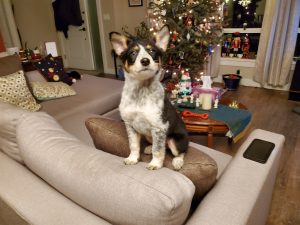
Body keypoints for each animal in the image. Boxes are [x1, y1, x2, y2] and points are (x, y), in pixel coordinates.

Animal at [109, 25, 189, 171]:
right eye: (132, 53)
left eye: (152, 51)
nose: (145, 61)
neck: (140, 92)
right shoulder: (130, 125)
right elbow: (134, 145)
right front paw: (133, 158)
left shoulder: (159, 127)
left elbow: (158, 150)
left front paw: (155, 164)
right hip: (149, 135)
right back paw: (148, 148)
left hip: (175, 140)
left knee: (180, 151)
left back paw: (177, 161)